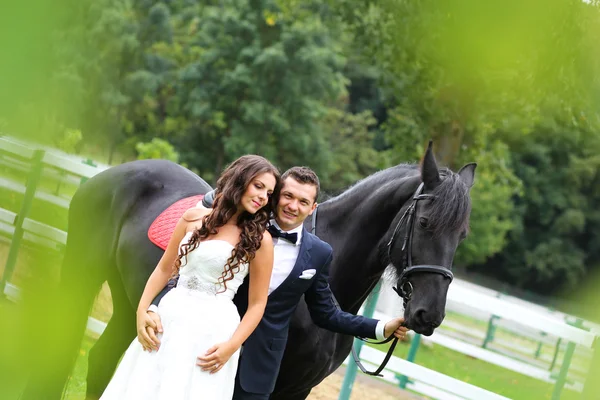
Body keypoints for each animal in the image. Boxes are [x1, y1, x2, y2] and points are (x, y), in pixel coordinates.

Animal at [19, 142, 474, 398]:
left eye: (462, 234)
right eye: (426, 223)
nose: (429, 314)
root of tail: (109, 175)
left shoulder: (296, 390)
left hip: (134, 306)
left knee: (101, 359)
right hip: (81, 276)